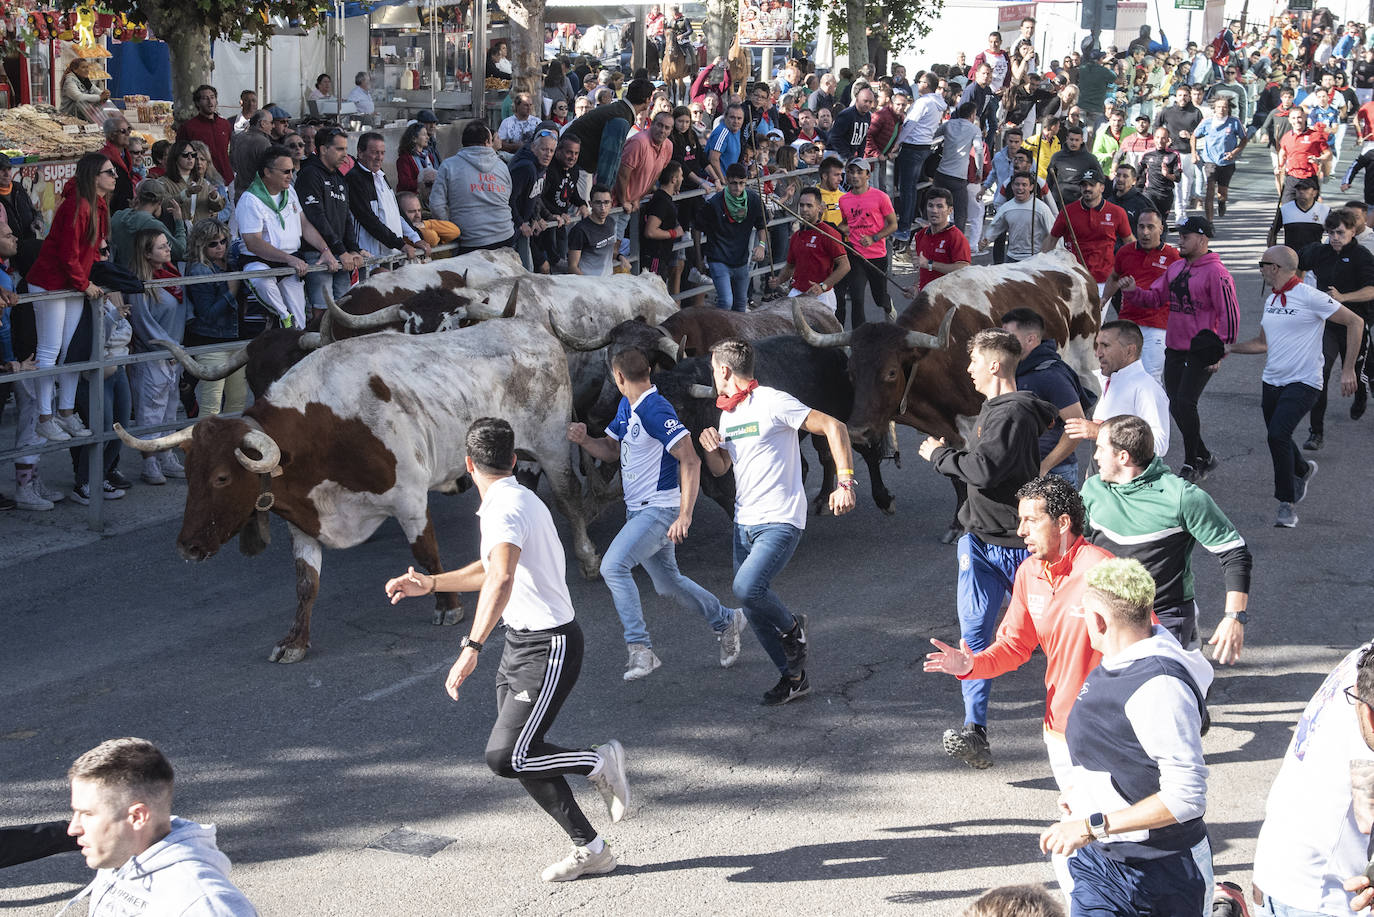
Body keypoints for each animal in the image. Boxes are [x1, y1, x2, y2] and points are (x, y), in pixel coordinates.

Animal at [791, 248, 1099, 538]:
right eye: (851, 371)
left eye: (891, 372)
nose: (856, 431)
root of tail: (1067, 258)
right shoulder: (944, 428)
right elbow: (954, 474)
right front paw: (956, 523)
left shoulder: (974, 424)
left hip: (1089, 364)